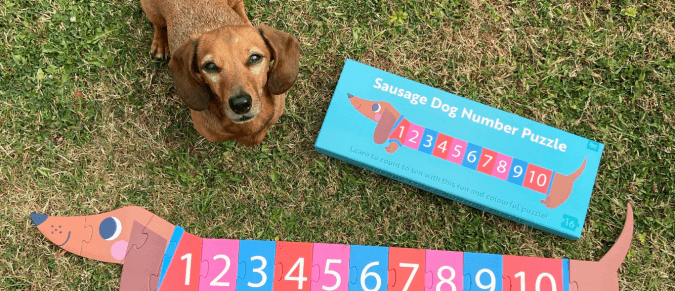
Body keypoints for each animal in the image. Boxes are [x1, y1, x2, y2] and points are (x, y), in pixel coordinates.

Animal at [139, 0, 298, 145]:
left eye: (255, 58)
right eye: (210, 66)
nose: (240, 104)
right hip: (150, 9)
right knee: (159, 25)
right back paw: (160, 44)